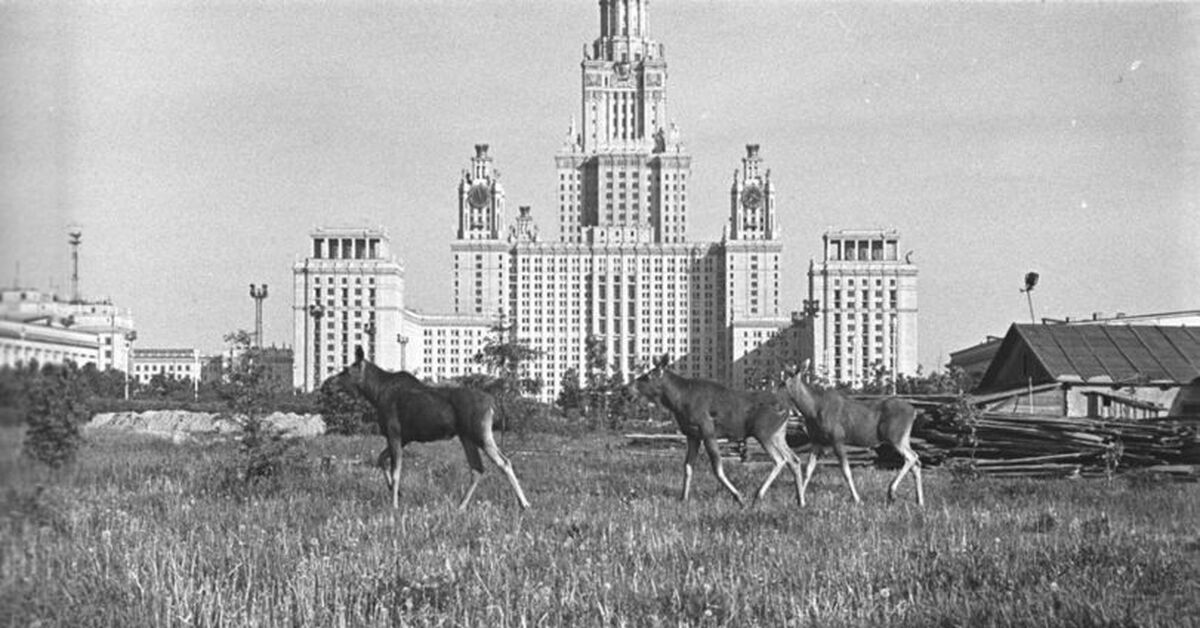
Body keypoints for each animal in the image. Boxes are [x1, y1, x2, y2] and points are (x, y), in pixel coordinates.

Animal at [328, 345, 535, 513]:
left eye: (346, 370)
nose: (327, 384)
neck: (374, 393)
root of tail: (492, 404)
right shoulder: (404, 438)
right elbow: (381, 459)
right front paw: (397, 493)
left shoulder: (394, 433)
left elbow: (396, 472)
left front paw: (394, 505)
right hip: (466, 437)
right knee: (477, 468)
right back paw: (461, 506)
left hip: (480, 434)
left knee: (504, 462)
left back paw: (524, 503)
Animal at [628, 353, 806, 506]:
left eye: (647, 376)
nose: (627, 389)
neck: (676, 401)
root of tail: (789, 409)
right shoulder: (692, 435)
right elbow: (687, 467)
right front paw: (683, 498)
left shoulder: (708, 432)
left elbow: (717, 470)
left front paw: (739, 497)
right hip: (778, 435)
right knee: (794, 459)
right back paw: (800, 501)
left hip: (763, 432)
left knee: (780, 460)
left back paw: (759, 495)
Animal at [782, 357, 921, 506]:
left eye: (785, 382)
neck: (811, 411)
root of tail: (914, 412)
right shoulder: (816, 441)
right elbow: (808, 470)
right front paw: (799, 499)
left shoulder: (837, 439)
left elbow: (846, 472)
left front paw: (857, 499)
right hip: (903, 438)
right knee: (916, 462)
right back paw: (919, 500)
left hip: (894, 436)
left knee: (912, 457)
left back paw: (892, 491)